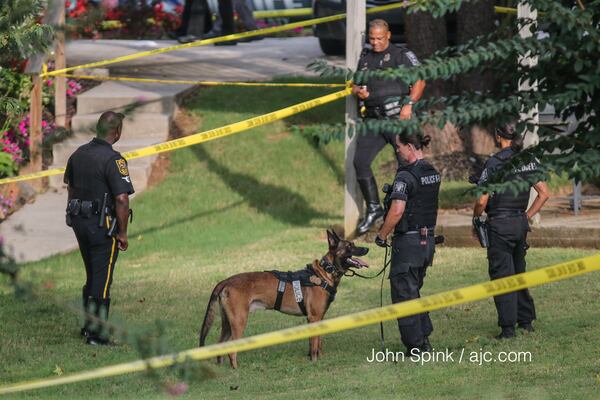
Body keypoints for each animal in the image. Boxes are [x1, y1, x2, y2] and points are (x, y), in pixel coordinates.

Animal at [199, 230, 368, 368]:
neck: (325, 273)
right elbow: (314, 344)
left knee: (221, 345)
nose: (367, 249)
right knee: (232, 349)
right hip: (239, 321)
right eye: (350, 246)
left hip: (228, 323)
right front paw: (314, 362)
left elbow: (318, 343)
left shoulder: (318, 318)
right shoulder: (314, 318)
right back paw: (236, 370)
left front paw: (319, 359)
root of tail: (226, 281)